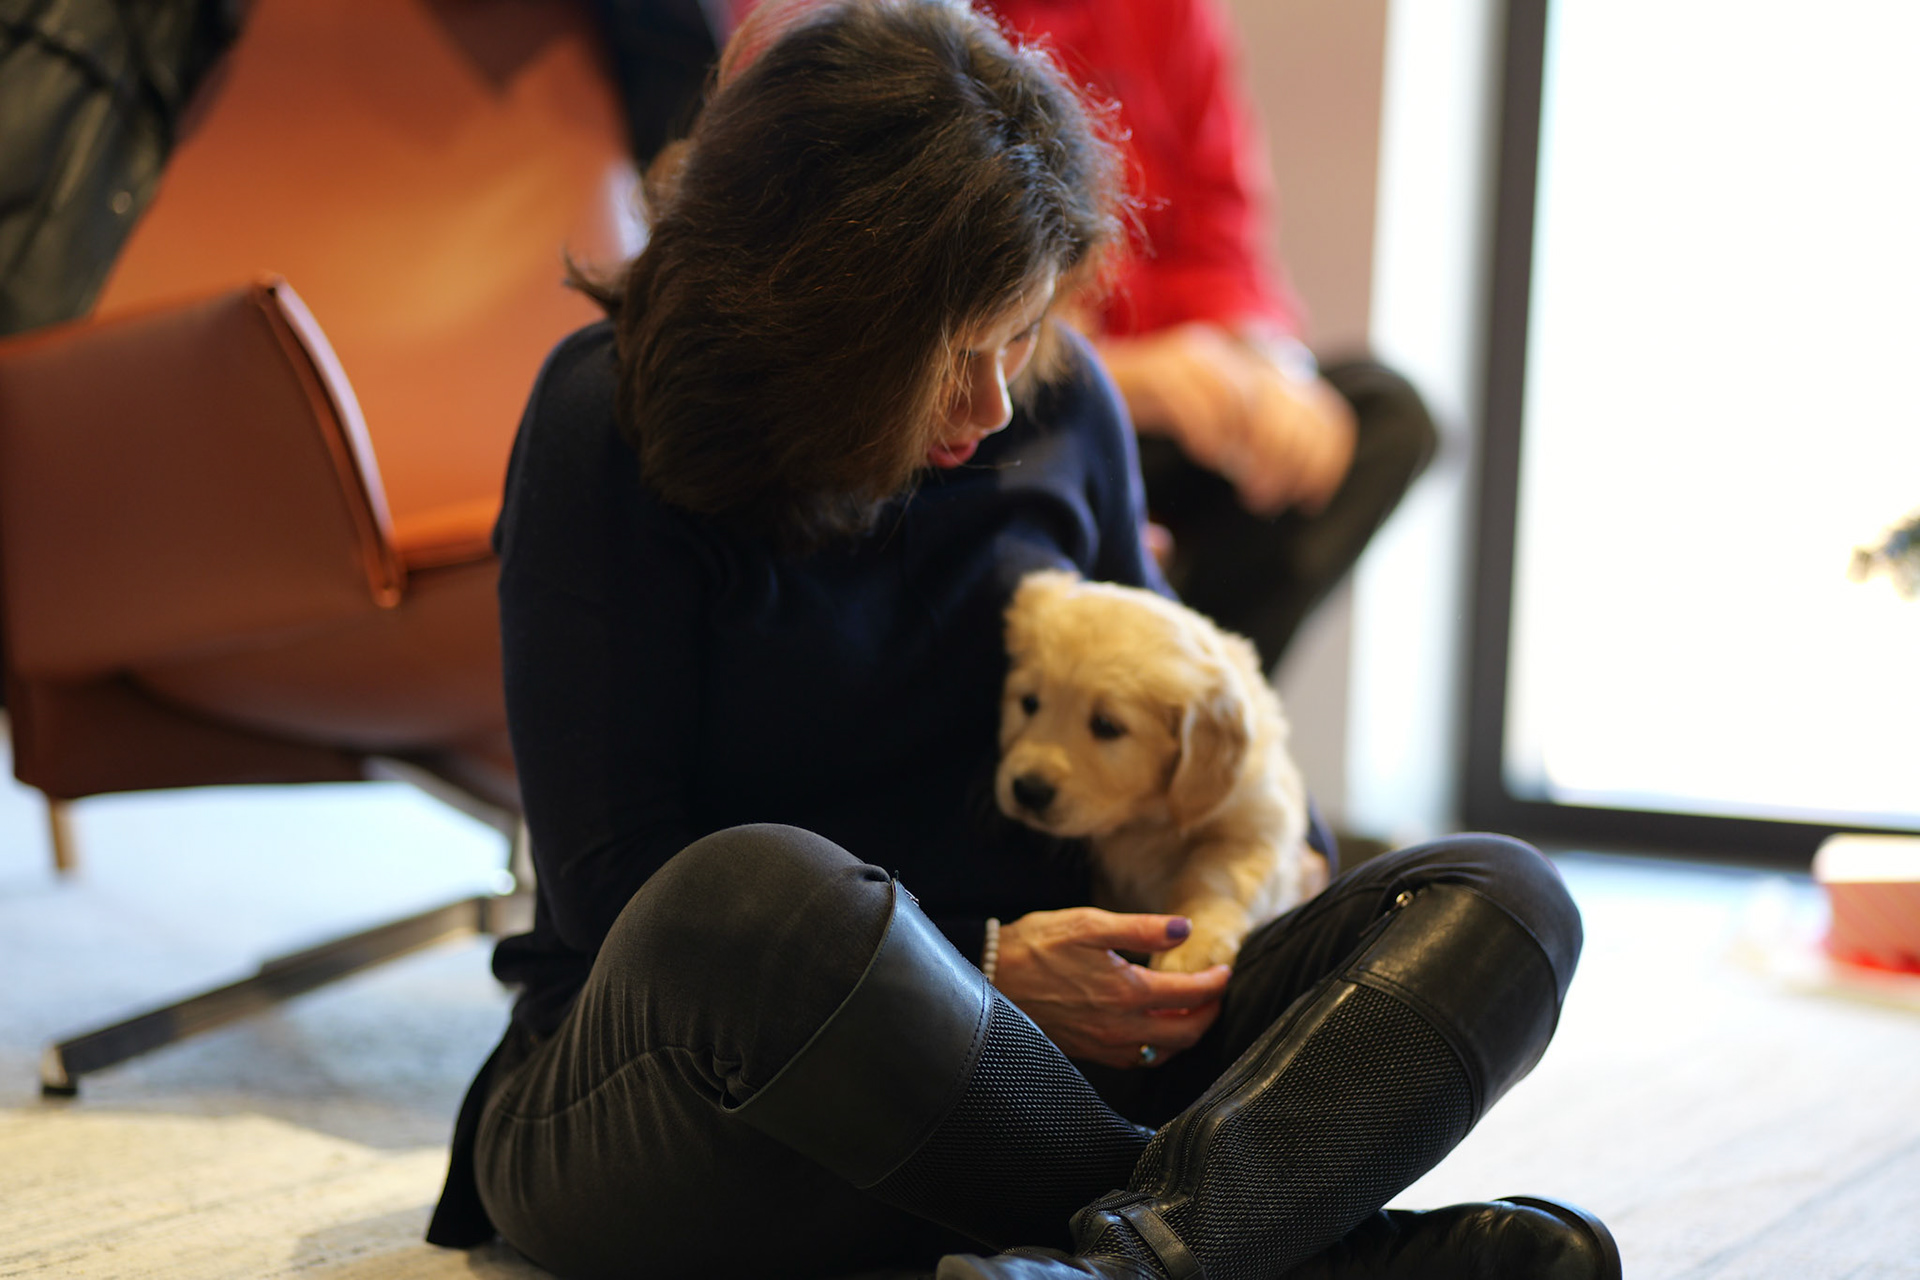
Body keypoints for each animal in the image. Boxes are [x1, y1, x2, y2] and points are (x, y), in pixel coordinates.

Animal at [995, 569, 1327, 972]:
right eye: (1029, 702)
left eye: (1107, 726)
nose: (1028, 790)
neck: (1146, 818)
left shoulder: (1259, 822)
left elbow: (1217, 875)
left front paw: (1194, 944)